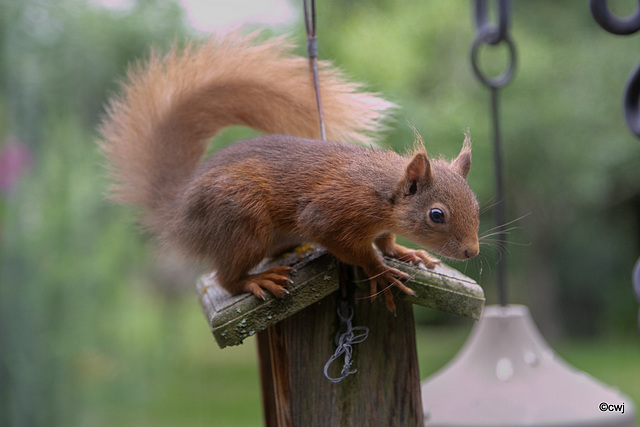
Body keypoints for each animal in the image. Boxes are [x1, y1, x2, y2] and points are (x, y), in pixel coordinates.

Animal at [99, 32, 480, 314]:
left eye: (476, 207)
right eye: (436, 215)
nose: (472, 252)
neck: (381, 191)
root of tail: (178, 212)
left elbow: (385, 240)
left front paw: (405, 252)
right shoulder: (332, 213)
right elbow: (353, 248)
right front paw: (381, 271)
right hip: (242, 220)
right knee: (226, 279)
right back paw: (256, 280)